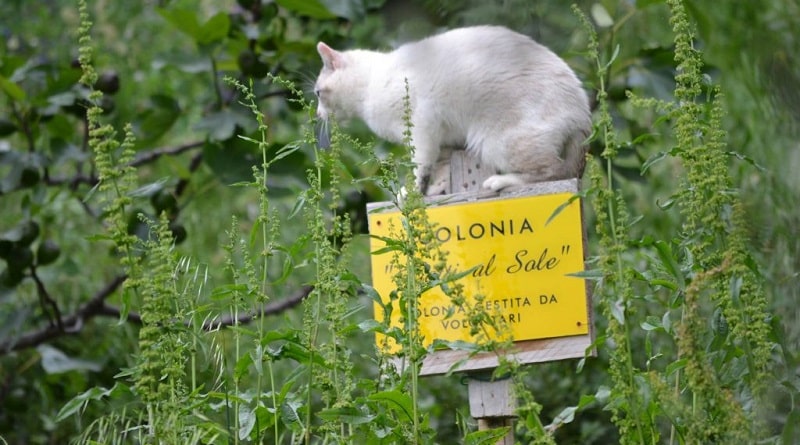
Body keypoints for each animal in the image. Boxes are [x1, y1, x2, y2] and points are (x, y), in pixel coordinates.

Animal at [316, 25, 592, 194]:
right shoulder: (444, 142)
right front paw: (431, 192)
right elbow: (438, 171)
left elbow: (419, 167)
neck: (369, 87)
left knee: (555, 172)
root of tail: (583, 113)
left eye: (318, 94)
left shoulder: (422, 126)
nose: (318, 114)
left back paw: (498, 182)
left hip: (493, 142)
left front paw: (411, 193)